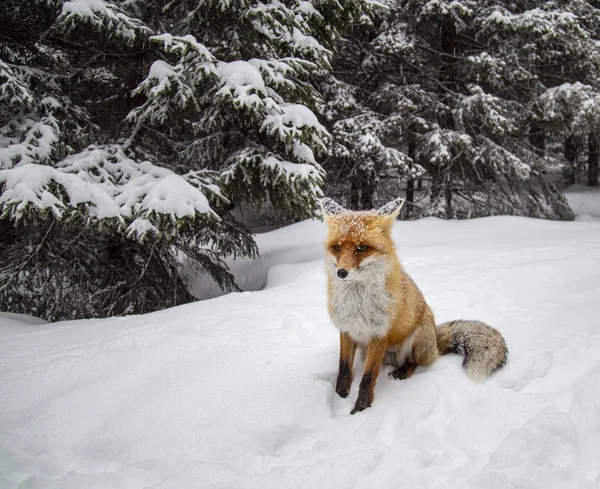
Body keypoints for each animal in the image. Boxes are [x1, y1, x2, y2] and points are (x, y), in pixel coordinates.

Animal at [322, 196, 508, 414]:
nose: (341, 273)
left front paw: (361, 409)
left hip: (417, 340)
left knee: (416, 362)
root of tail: (435, 339)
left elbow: (368, 378)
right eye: (337, 247)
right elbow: (343, 370)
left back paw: (402, 371)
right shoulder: (347, 330)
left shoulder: (380, 334)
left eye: (362, 248)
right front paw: (340, 397)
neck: (357, 305)